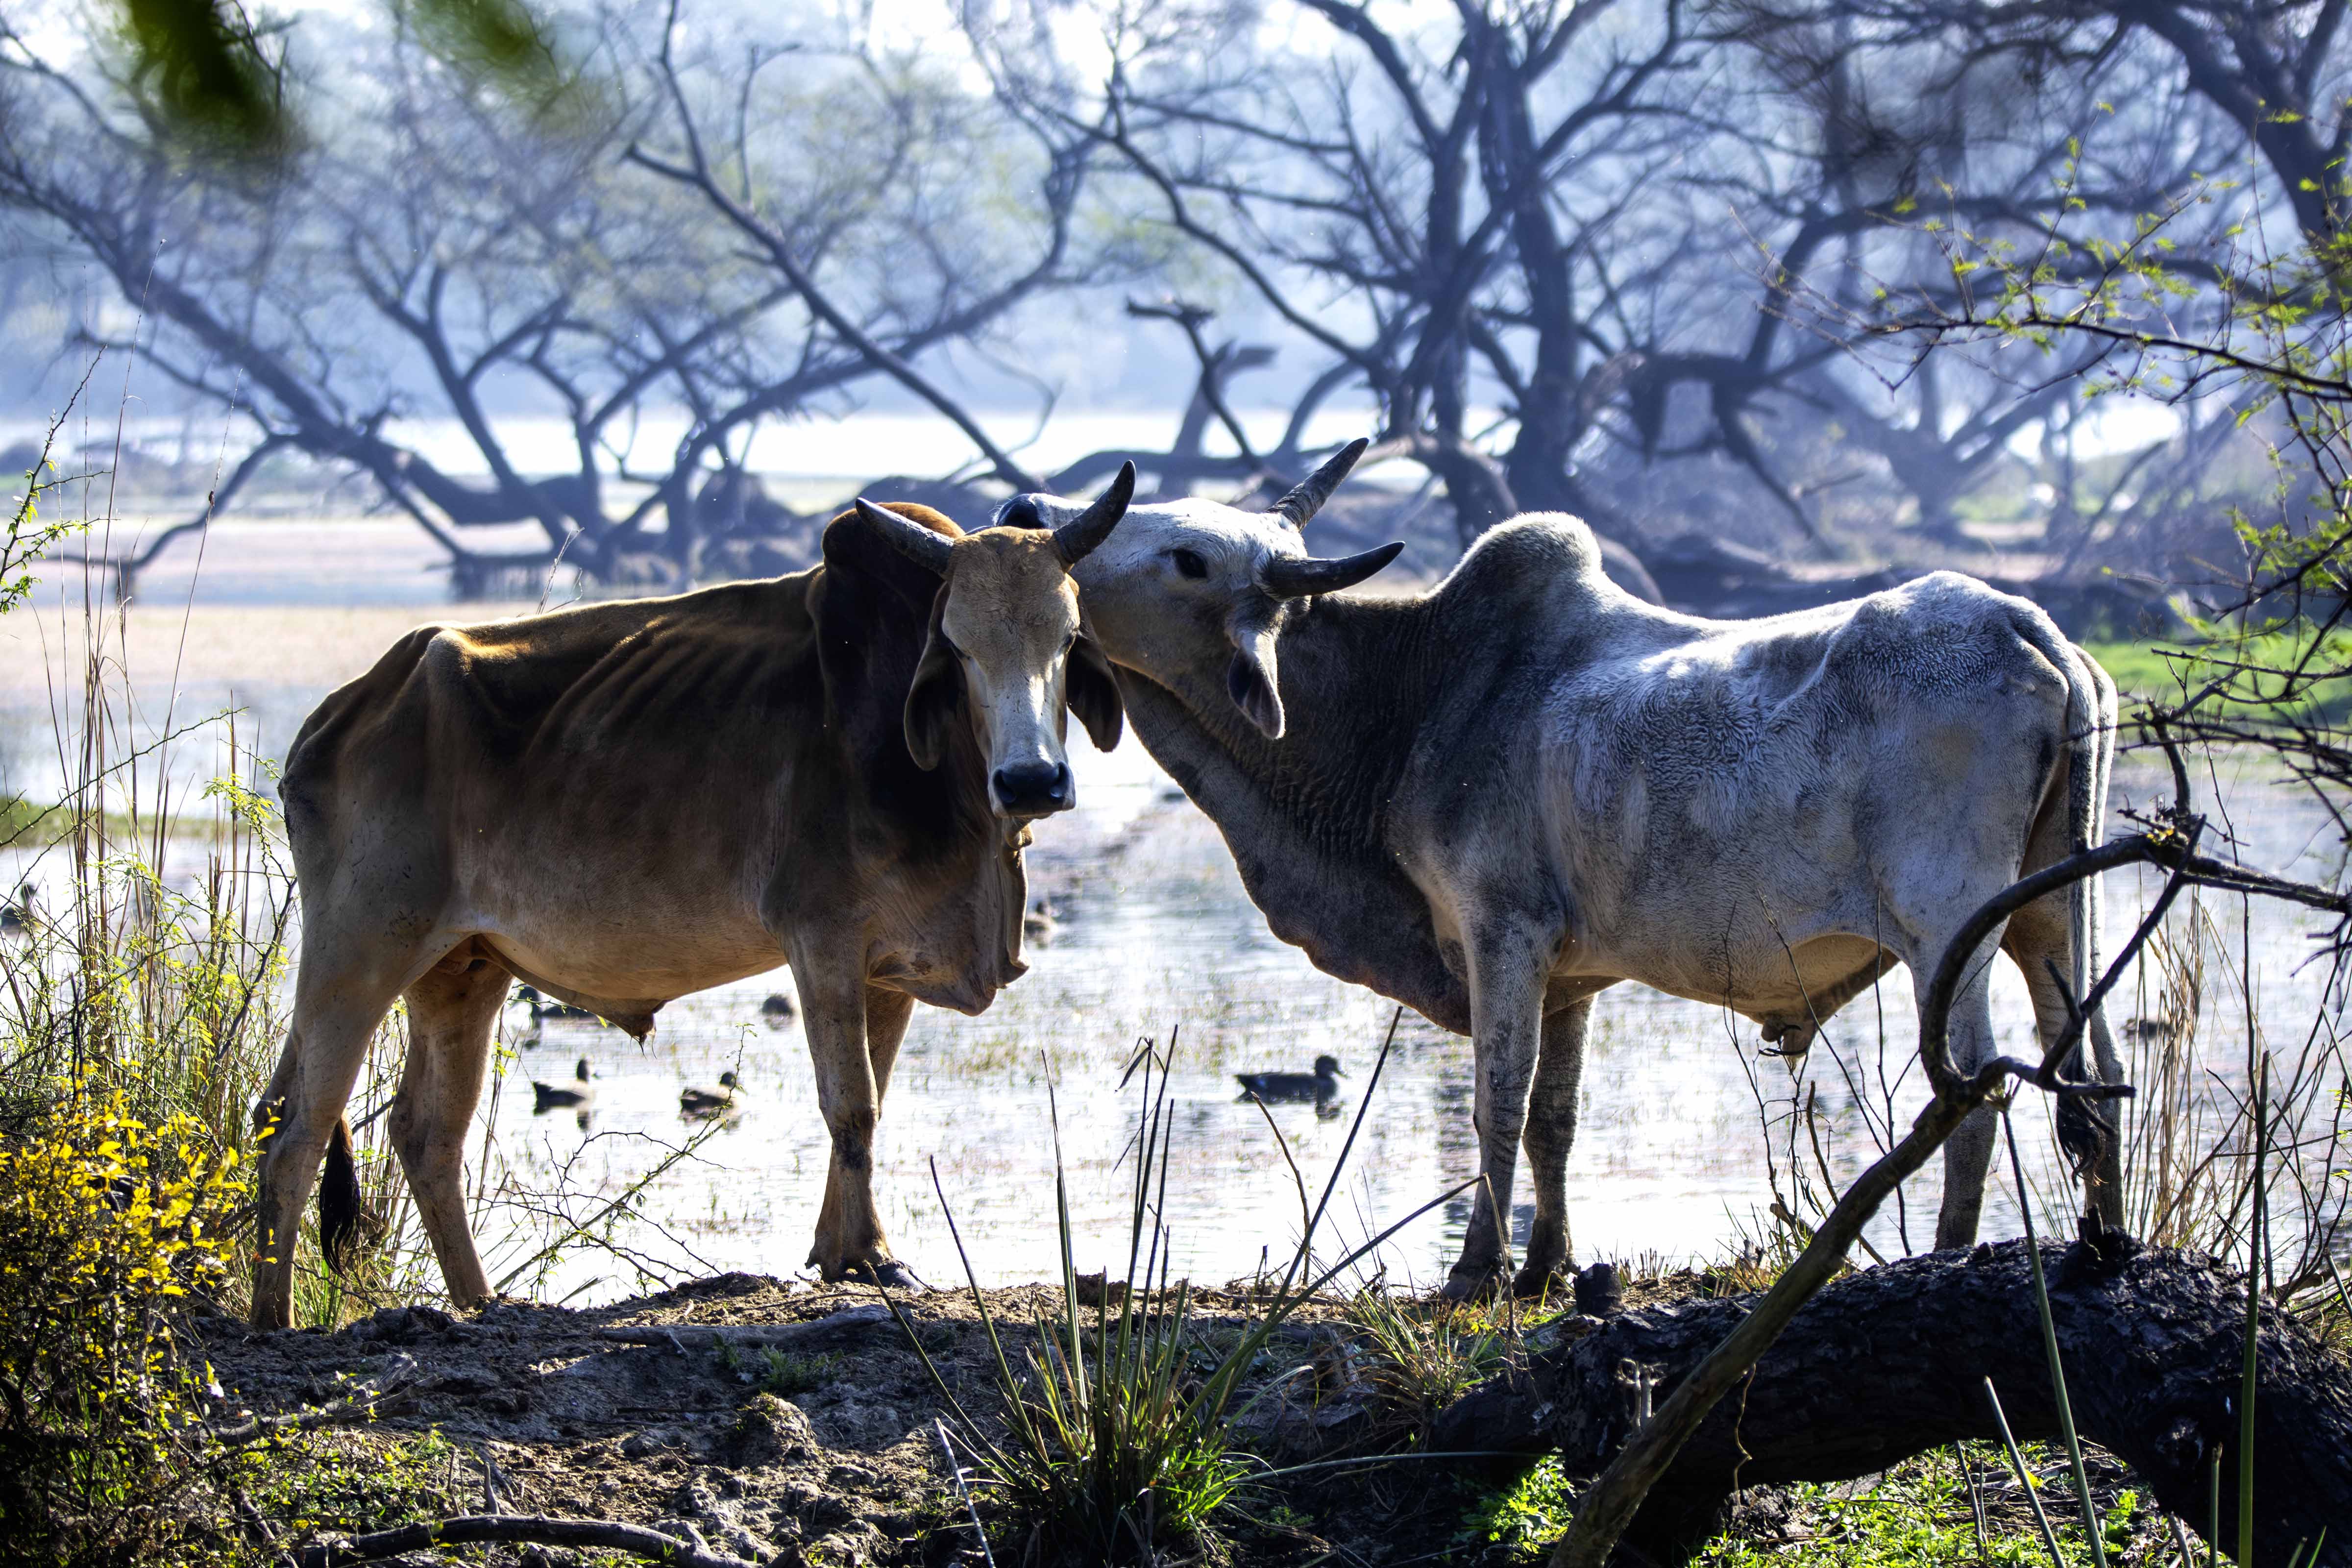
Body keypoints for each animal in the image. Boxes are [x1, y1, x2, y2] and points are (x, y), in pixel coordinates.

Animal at [244, 469, 1137, 1330]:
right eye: (955, 644)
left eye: (1067, 638)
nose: (1031, 780)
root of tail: (336, 717)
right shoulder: (821, 939)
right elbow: (852, 1106)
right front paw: (866, 1259)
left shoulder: (889, 965)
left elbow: (872, 1106)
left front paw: (855, 1253)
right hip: (360, 950)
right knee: (294, 1125)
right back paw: (271, 1320)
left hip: (462, 969)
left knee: (424, 1135)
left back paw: (481, 1304)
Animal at [1002, 442, 2122, 1297]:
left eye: (1187, 557)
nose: (1026, 512)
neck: (1417, 696)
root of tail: (2030, 628)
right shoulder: (1573, 976)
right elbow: (1555, 1120)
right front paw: (1550, 1264)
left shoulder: (1503, 932)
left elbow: (1498, 1099)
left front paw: (1477, 1270)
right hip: (2054, 914)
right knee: (2093, 1072)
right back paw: (2101, 1244)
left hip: (1950, 930)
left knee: (1973, 1086)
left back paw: (1947, 1257)